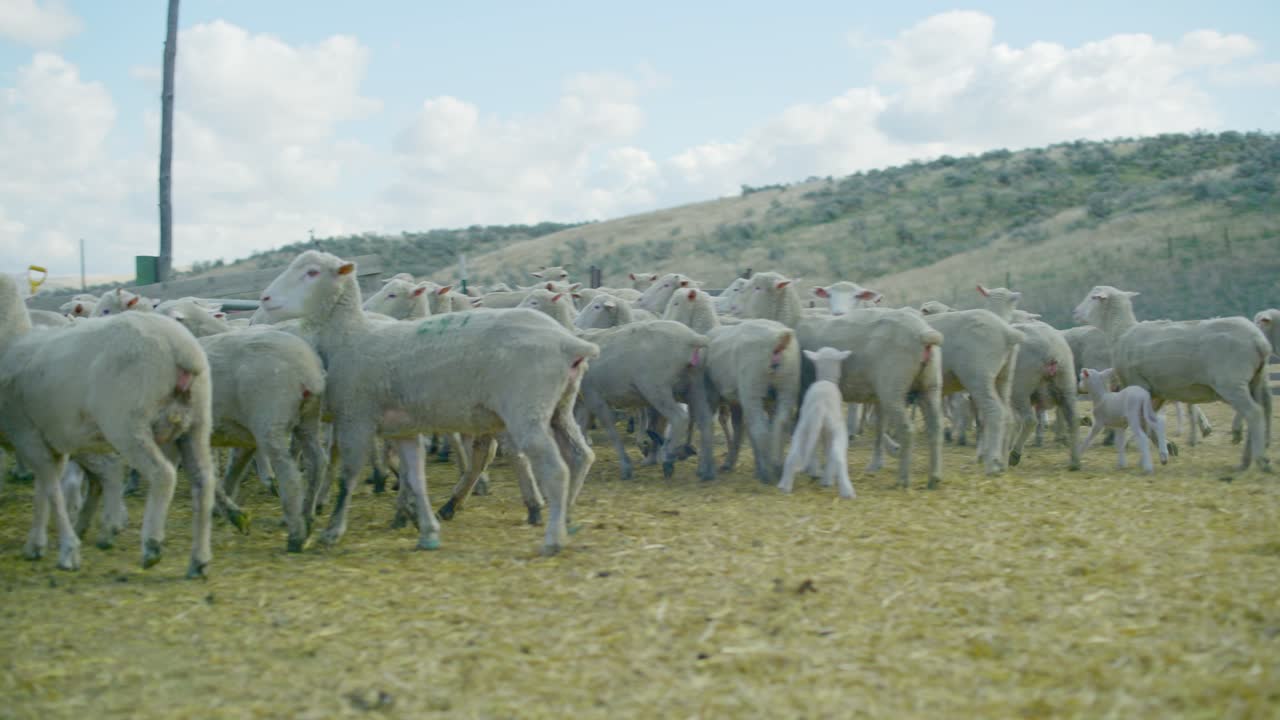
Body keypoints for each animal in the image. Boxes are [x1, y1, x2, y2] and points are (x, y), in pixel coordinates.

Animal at [0, 274, 216, 576]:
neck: (10, 340)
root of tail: (181, 350)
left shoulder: (26, 433)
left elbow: (52, 489)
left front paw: (67, 550)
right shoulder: (54, 440)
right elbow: (44, 489)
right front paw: (36, 544)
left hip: (128, 424)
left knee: (162, 474)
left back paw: (151, 545)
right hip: (196, 423)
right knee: (204, 480)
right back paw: (199, 559)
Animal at [258, 251, 599, 554]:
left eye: (312, 272)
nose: (265, 298)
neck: (349, 336)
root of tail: (569, 342)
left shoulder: (356, 416)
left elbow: (348, 476)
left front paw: (332, 531)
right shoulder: (403, 429)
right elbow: (415, 478)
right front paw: (426, 532)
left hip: (526, 409)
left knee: (555, 469)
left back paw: (553, 537)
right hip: (559, 407)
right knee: (580, 456)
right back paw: (566, 517)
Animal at [777, 347, 854, 498]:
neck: (826, 379)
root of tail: (820, 406)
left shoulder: (820, 431)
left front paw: (819, 473)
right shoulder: (829, 431)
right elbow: (830, 453)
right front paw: (827, 479)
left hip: (803, 427)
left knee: (794, 453)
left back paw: (784, 485)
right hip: (837, 428)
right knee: (838, 455)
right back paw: (846, 490)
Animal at [1073, 286, 1272, 471]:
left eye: (1093, 297)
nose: (1075, 312)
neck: (1121, 332)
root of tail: (1259, 341)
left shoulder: (1137, 383)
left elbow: (1144, 424)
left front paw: (1159, 452)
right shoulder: (1155, 392)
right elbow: (1149, 423)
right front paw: (1165, 448)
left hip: (1232, 383)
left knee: (1254, 413)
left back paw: (1261, 460)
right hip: (1255, 381)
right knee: (1257, 414)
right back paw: (1247, 461)